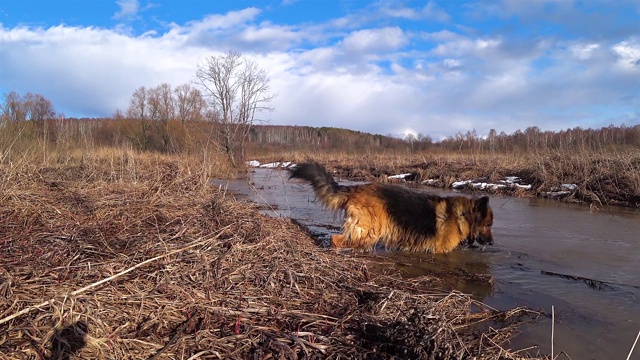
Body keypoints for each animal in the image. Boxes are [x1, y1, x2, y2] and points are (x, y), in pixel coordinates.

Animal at [290, 163, 496, 253]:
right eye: (488, 225)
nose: (493, 243)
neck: (462, 215)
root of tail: (355, 188)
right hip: (369, 230)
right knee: (336, 240)